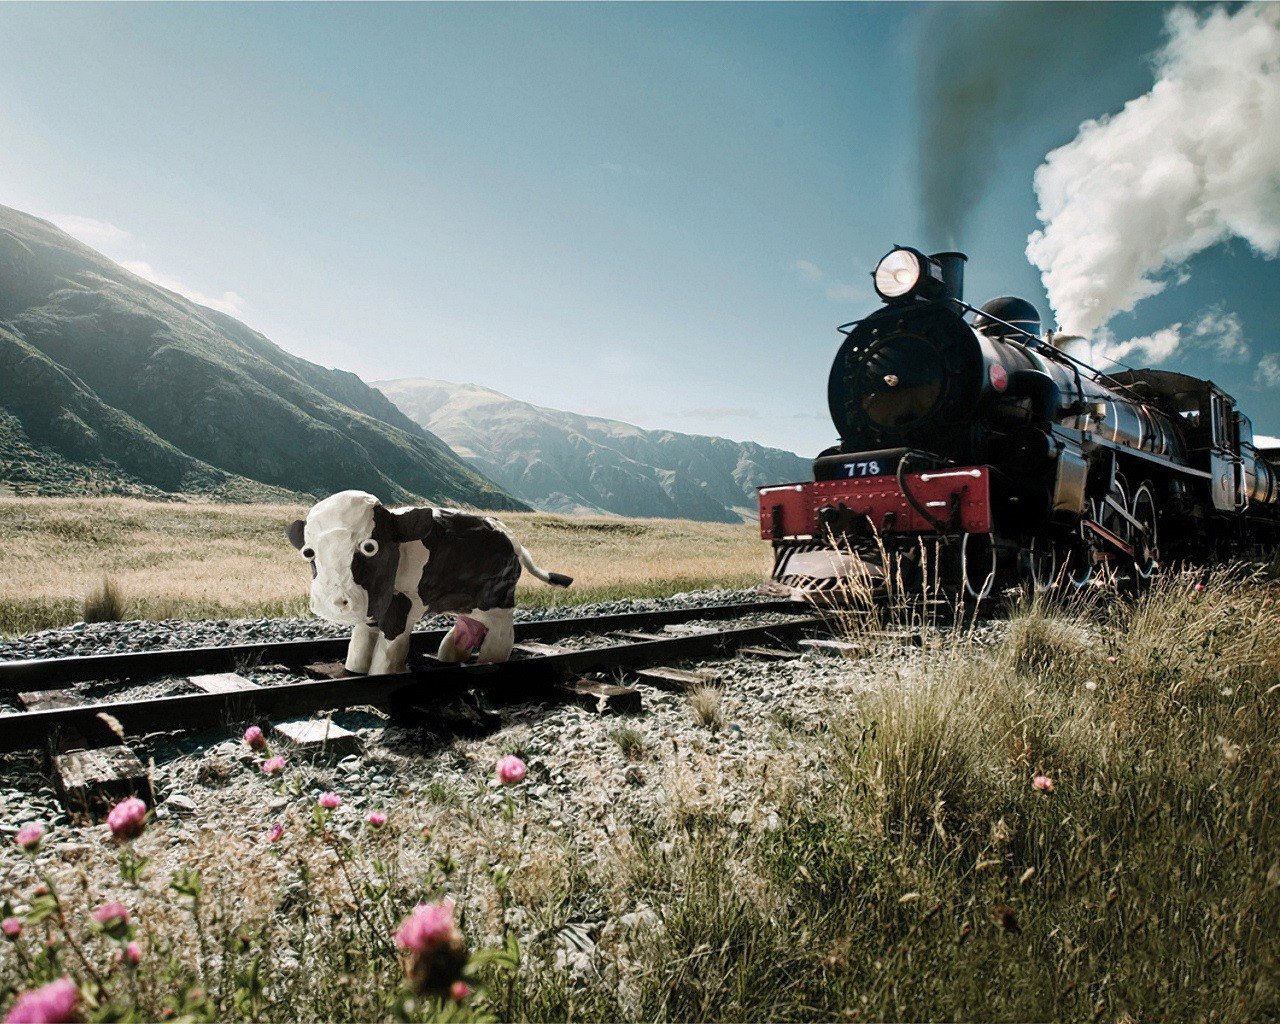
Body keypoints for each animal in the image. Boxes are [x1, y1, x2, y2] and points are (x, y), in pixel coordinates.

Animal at [286, 490, 572, 674]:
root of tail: (511, 536)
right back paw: (450, 656)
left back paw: (489, 660)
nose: (334, 601)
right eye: (308, 552)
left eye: (370, 547)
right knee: (470, 624)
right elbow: (361, 638)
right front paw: (353, 670)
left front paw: (380, 673)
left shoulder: (403, 601)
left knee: (502, 632)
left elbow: (390, 644)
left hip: (498, 599)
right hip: (467, 601)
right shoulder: (375, 603)